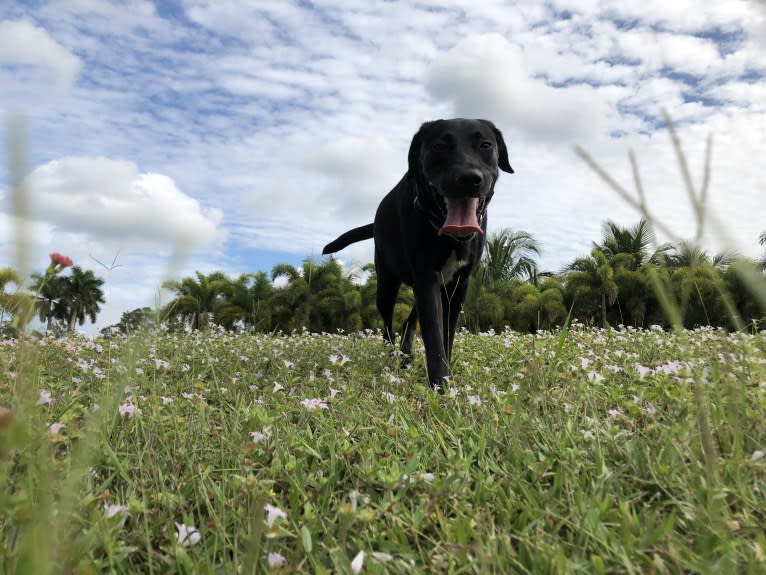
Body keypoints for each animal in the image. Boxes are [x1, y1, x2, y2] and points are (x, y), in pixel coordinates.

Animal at [324, 120, 516, 392]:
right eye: (439, 146)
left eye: (486, 144)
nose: (469, 179)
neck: (447, 236)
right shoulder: (426, 279)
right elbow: (433, 336)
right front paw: (440, 385)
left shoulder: (458, 285)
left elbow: (446, 335)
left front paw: (445, 379)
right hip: (386, 284)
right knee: (387, 326)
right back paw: (392, 357)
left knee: (409, 321)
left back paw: (405, 356)